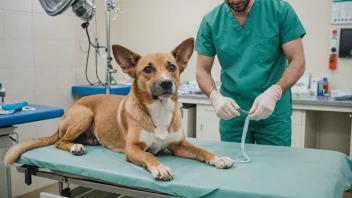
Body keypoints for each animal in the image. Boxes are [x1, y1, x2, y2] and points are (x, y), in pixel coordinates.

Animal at [4, 37, 235, 181]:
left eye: (171, 67)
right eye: (148, 69)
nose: (166, 83)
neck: (159, 111)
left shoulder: (179, 145)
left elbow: (202, 151)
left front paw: (218, 158)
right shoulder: (133, 149)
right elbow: (150, 157)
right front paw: (160, 168)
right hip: (84, 114)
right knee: (60, 141)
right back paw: (75, 146)